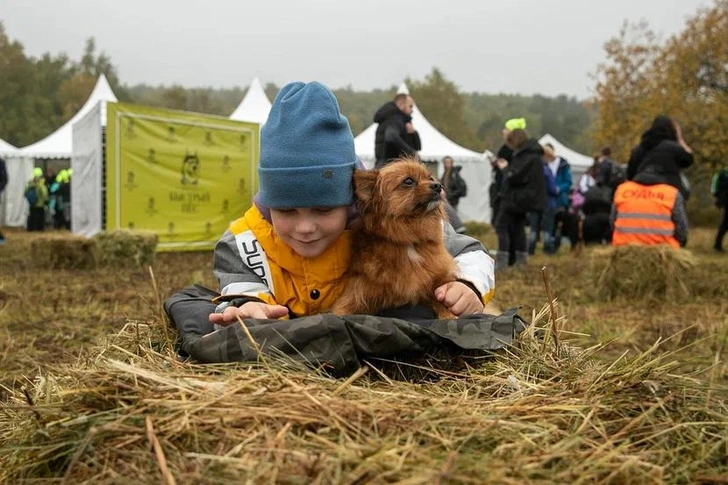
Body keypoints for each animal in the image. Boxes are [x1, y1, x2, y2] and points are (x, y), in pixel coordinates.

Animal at [332, 157, 458, 320]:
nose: (438, 185)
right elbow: (341, 311)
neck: (408, 238)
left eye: (430, 178)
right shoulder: (357, 294)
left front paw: (448, 314)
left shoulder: (436, 280)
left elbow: (439, 296)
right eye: (408, 181)